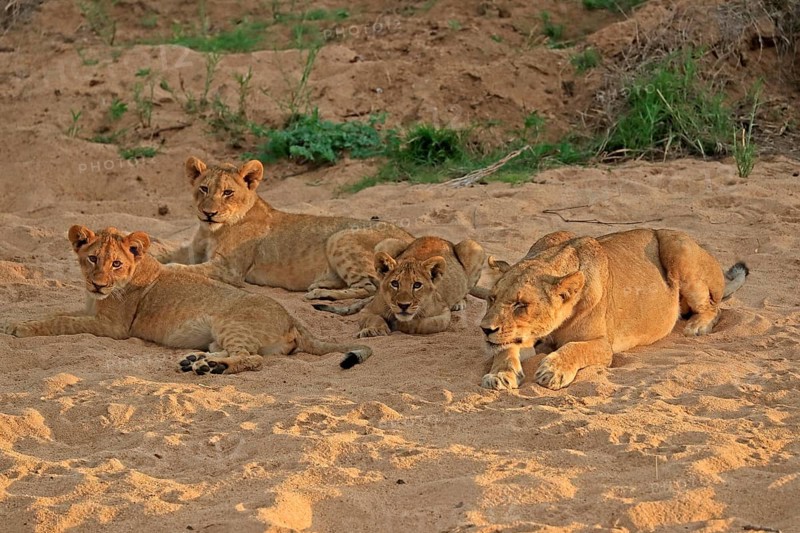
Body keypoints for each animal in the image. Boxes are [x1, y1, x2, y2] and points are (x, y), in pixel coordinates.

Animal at [3, 226, 373, 373]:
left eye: (116, 263)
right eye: (93, 258)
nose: (98, 284)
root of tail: (294, 317)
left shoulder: (113, 328)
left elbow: (61, 322)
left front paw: (19, 329)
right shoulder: (89, 310)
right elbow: (57, 311)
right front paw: (14, 321)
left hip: (231, 323)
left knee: (252, 358)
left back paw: (211, 368)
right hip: (219, 336)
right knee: (232, 352)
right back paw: (197, 360)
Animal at [158, 157, 414, 301]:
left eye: (228, 192)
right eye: (203, 188)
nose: (208, 213)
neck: (211, 231)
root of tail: (410, 237)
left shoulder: (229, 269)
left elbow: (183, 268)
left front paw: (166, 269)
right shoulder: (193, 251)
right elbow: (167, 252)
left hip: (341, 238)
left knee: (370, 287)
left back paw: (322, 293)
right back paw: (322, 284)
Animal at [315, 236, 485, 342]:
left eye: (417, 285)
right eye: (395, 283)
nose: (404, 305)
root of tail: (441, 238)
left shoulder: (443, 314)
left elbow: (420, 324)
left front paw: (397, 324)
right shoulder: (368, 310)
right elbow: (374, 318)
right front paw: (373, 331)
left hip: (474, 247)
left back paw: (459, 303)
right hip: (386, 243)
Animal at [479, 229, 748, 390]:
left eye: (520, 305)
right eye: (492, 298)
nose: (485, 329)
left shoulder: (603, 344)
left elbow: (574, 347)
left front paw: (552, 371)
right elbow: (505, 350)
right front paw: (500, 376)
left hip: (678, 248)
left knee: (715, 307)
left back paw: (697, 326)